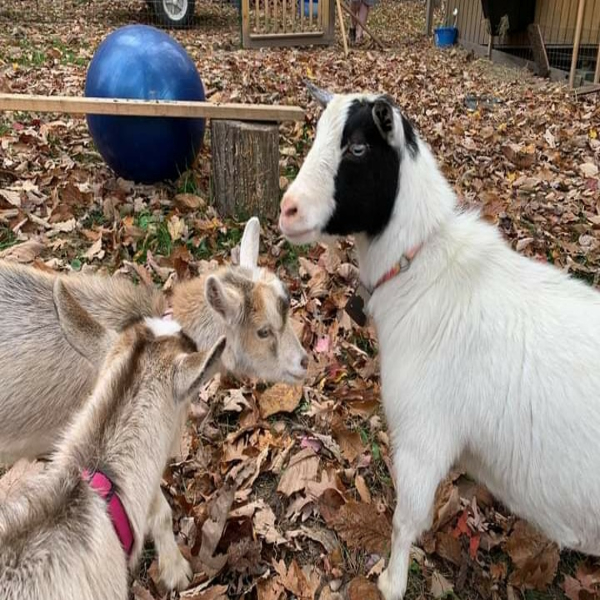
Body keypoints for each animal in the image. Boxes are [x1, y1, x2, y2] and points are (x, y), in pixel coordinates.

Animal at [278, 84, 600, 600]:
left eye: (358, 147)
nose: (287, 209)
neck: (425, 270)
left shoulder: (422, 437)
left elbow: (405, 522)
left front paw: (390, 582)